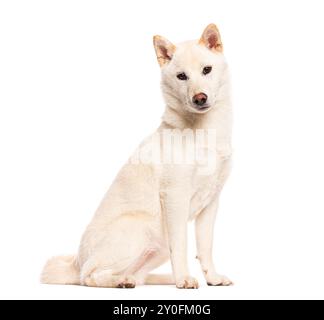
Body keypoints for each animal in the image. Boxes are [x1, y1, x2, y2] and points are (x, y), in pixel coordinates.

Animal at [41, 23, 233, 288]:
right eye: (181, 76)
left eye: (207, 70)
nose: (200, 98)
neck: (205, 132)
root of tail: (75, 263)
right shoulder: (175, 197)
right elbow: (181, 246)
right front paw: (184, 280)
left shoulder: (211, 202)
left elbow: (205, 247)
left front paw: (212, 278)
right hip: (139, 230)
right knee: (88, 276)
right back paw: (122, 281)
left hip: (157, 247)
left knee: (139, 276)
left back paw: (150, 278)